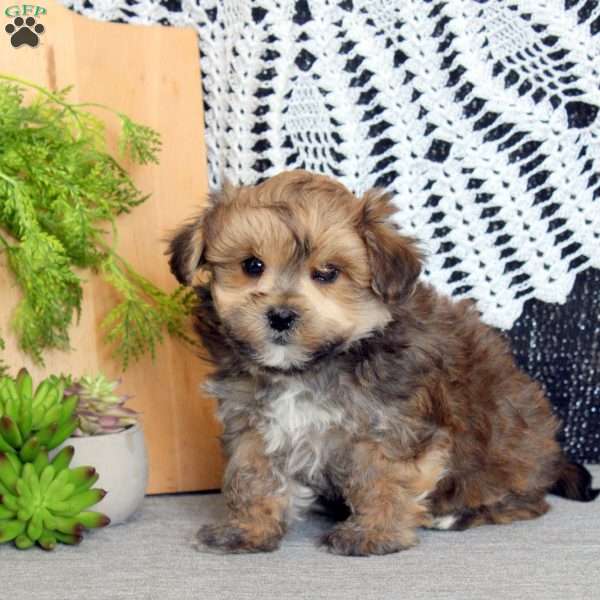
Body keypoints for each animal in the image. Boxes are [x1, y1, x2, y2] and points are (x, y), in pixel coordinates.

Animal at [166, 170, 596, 556]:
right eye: (252, 266)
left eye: (328, 273)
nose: (281, 316)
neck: (310, 367)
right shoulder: (254, 422)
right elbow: (253, 475)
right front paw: (246, 529)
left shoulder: (391, 425)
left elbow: (384, 478)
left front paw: (374, 534)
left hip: (504, 450)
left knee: (525, 500)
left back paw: (456, 514)